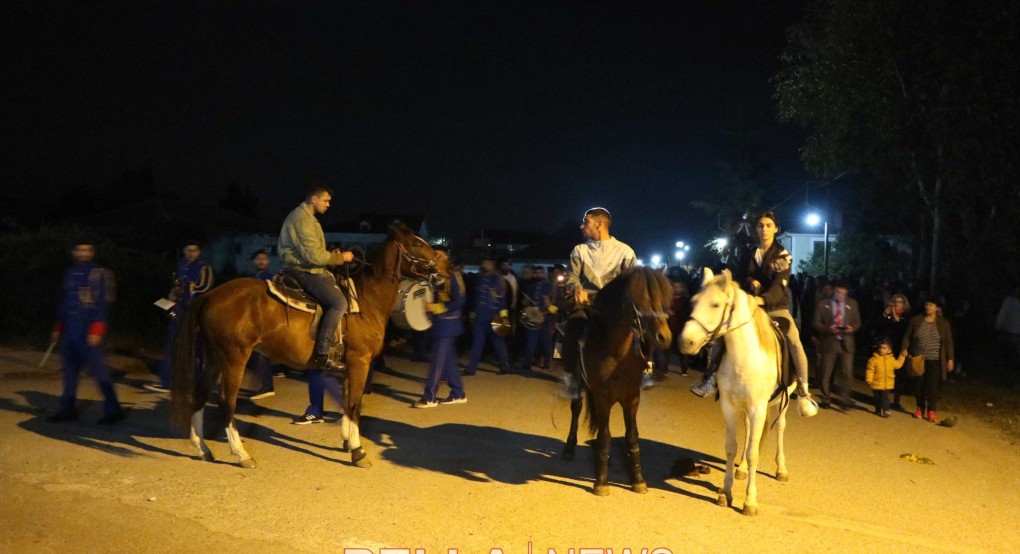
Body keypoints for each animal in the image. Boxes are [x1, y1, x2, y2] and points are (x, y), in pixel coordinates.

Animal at [169, 225, 448, 469]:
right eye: (416, 244)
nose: (445, 264)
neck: (366, 299)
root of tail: (211, 295)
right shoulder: (360, 363)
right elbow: (355, 405)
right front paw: (358, 452)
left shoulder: (350, 367)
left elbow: (347, 403)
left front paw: (348, 443)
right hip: (233, 359)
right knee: (227, 402)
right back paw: (241, 454)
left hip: (214, 358)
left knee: (201, 395)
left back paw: (202, 448)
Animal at [563, 267, 673, 495]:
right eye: (641, 300)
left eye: (662, 300)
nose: (665, 337)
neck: (617, 353)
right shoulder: (602, 398)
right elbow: (604, 436)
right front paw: (601, 482)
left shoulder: (631, 399)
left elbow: (632, 436)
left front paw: (638, 480)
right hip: (576, 380)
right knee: (576, 409)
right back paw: (569, 448)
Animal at [685, 267, 795, 518]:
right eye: (693, 301)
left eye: (715, 304)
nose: (686, 341)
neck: (744, 357)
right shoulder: (729, 406)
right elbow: (732, 448)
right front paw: (725, 493)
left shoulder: (758, 409)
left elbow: (754, 452)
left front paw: (750, 502)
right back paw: (743, 469)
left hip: (782, 404)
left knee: (781, 428)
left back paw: (781, 469)